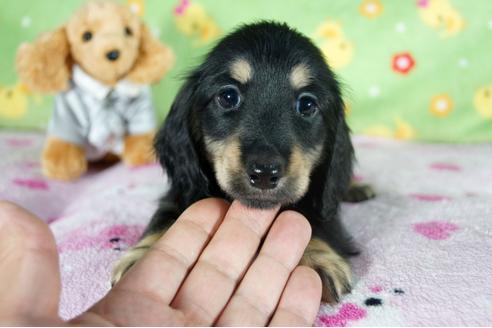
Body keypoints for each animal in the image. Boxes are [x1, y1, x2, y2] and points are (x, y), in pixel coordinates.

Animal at [111, 20, 372, 302]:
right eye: (228, 97)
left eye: (307, 104)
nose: (264, 173)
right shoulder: (181, 192)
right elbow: (164, 219)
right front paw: (147, 259)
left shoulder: (319, 200)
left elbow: (312, 218)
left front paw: (316, 258)